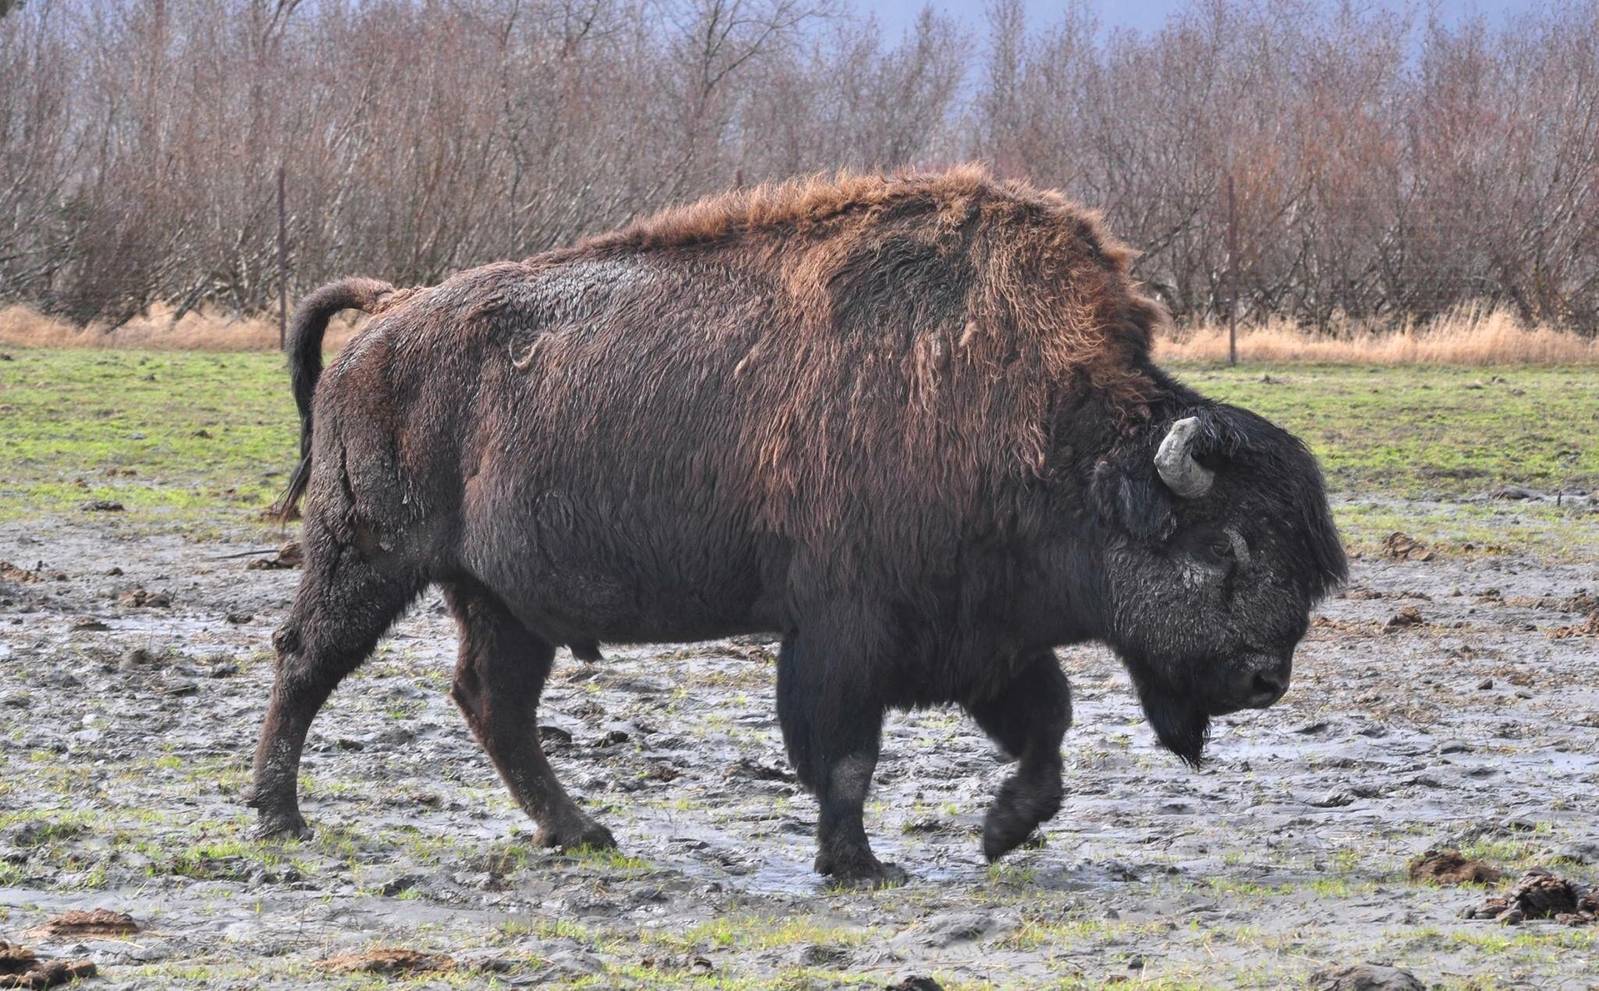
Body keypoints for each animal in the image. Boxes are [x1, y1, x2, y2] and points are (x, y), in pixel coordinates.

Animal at [246, 167, 1346, 886]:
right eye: (1224, 549)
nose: (1266, 678)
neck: (1058, 436)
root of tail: (391, 314)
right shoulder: (845, 633)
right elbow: (848, 754)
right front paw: (859, 865)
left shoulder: (986, 637)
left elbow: (1046, 731)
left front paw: (998, 833)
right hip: (369, 555)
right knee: (309, 659)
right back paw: (280, 818)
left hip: (500, 601)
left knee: (493, 701)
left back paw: (583, 831)